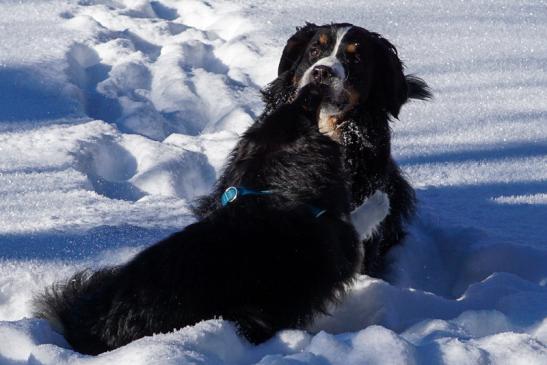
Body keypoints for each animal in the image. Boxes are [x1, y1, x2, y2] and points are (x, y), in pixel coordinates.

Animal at [34, 82, 390, 352]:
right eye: (306, 103)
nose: (315, 82)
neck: (273, 184)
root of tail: (88, 327)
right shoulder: (340, 246)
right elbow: (360, 219)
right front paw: (381, 200)